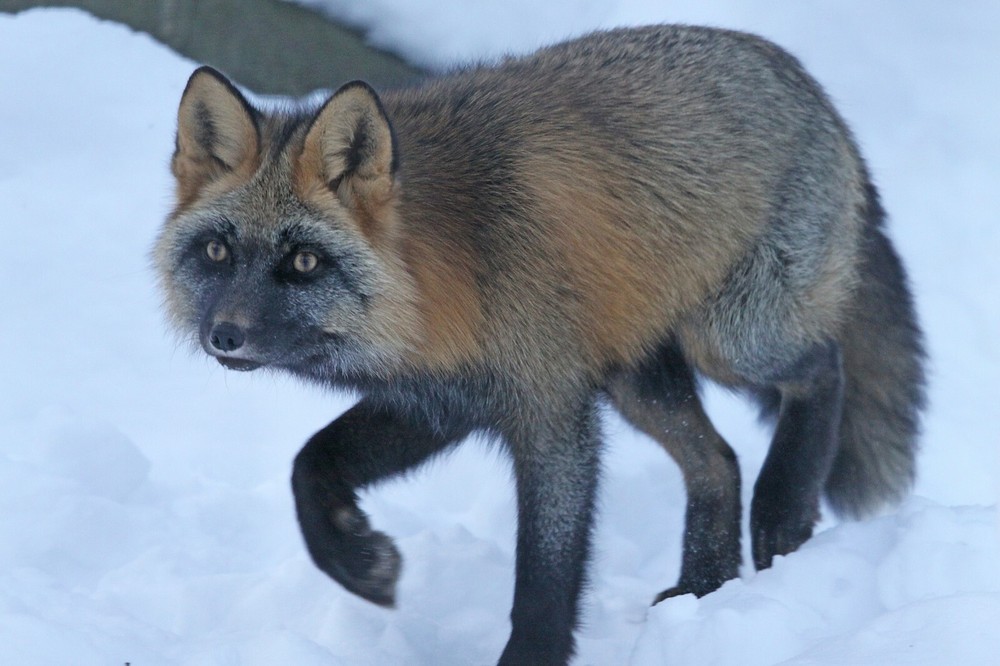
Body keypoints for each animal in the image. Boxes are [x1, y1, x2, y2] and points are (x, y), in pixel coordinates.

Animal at [153, 24, 926, 665]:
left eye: (304, 262)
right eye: (219, 252)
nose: (225, 335)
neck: (446, 276)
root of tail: (797, 71)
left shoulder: (553, 416)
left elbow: (545, 579)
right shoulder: (441, 400)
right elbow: (310, 466)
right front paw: (359, 562)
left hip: (732, 341)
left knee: (822, 371)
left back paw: (783, 515)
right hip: (636, 381)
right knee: (718, 463)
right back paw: (704, 589)